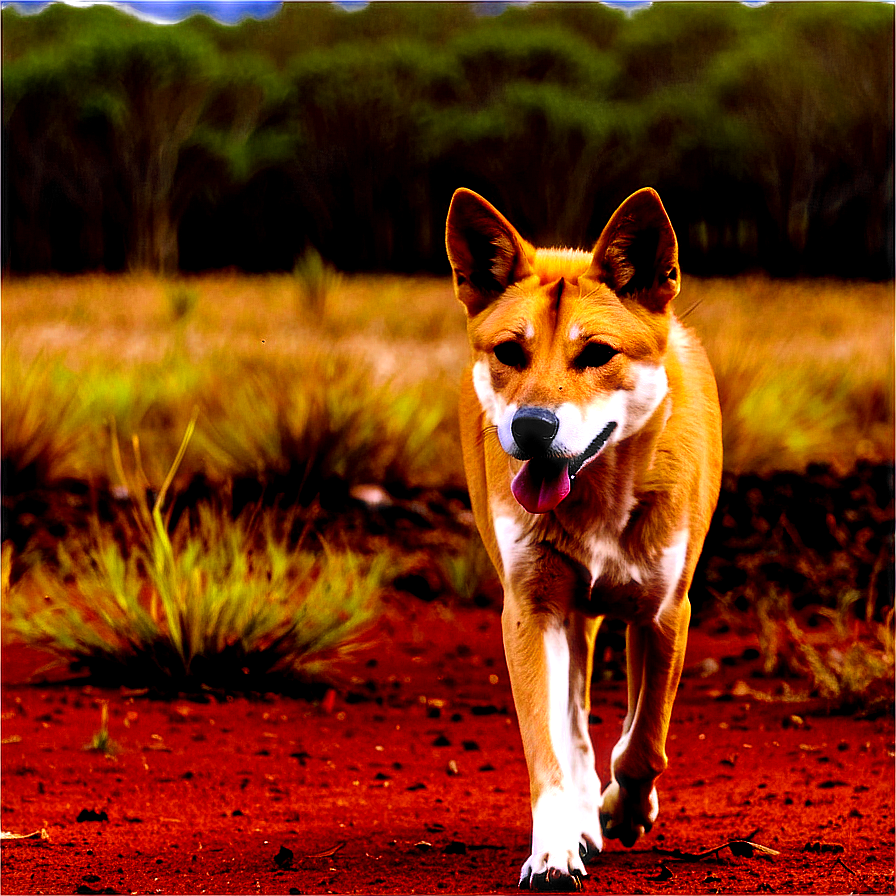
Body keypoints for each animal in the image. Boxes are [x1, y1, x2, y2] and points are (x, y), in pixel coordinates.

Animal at [444, 187, 724, 888]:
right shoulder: (530, 611)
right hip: (565, 615)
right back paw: (580, 822)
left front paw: (628, 807)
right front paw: (555, 847)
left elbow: (645, 742)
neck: (596, 505)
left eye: (596, 353)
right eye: (510, 352)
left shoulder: (664, 612)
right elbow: (548, 749)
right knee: (571, 723)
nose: (532, 424)